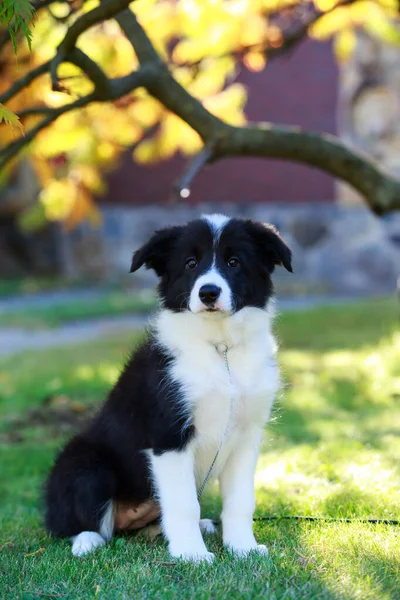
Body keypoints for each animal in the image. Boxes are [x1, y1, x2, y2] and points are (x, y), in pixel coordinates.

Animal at [45, 214, 292, 564]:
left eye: (234, 262)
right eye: (190, 263)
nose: (208, 293)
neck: (220, 350)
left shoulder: (246, 436)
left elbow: (241, 501)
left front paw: (242, 548)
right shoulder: (168, 436)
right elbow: (183, 503)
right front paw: (192, 555)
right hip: (85, 464)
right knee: (78, 523)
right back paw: (86, 541)